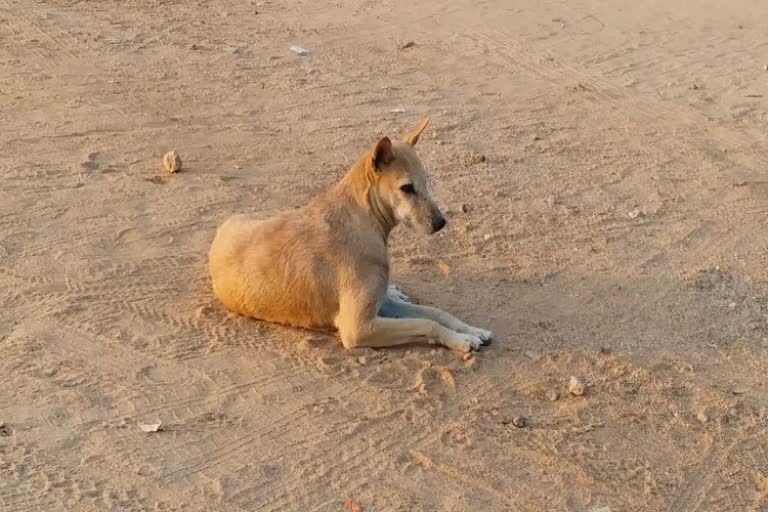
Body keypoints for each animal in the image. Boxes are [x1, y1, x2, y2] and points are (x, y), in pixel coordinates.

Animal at [210, 119, 496, 352]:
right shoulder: (359, 328)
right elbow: (426, 323)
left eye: (426, 182)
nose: (441, 223)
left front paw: (471, 330)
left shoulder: (379, 308)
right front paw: (460, 340)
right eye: (406, 188)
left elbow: (435, 312)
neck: (363, 219)